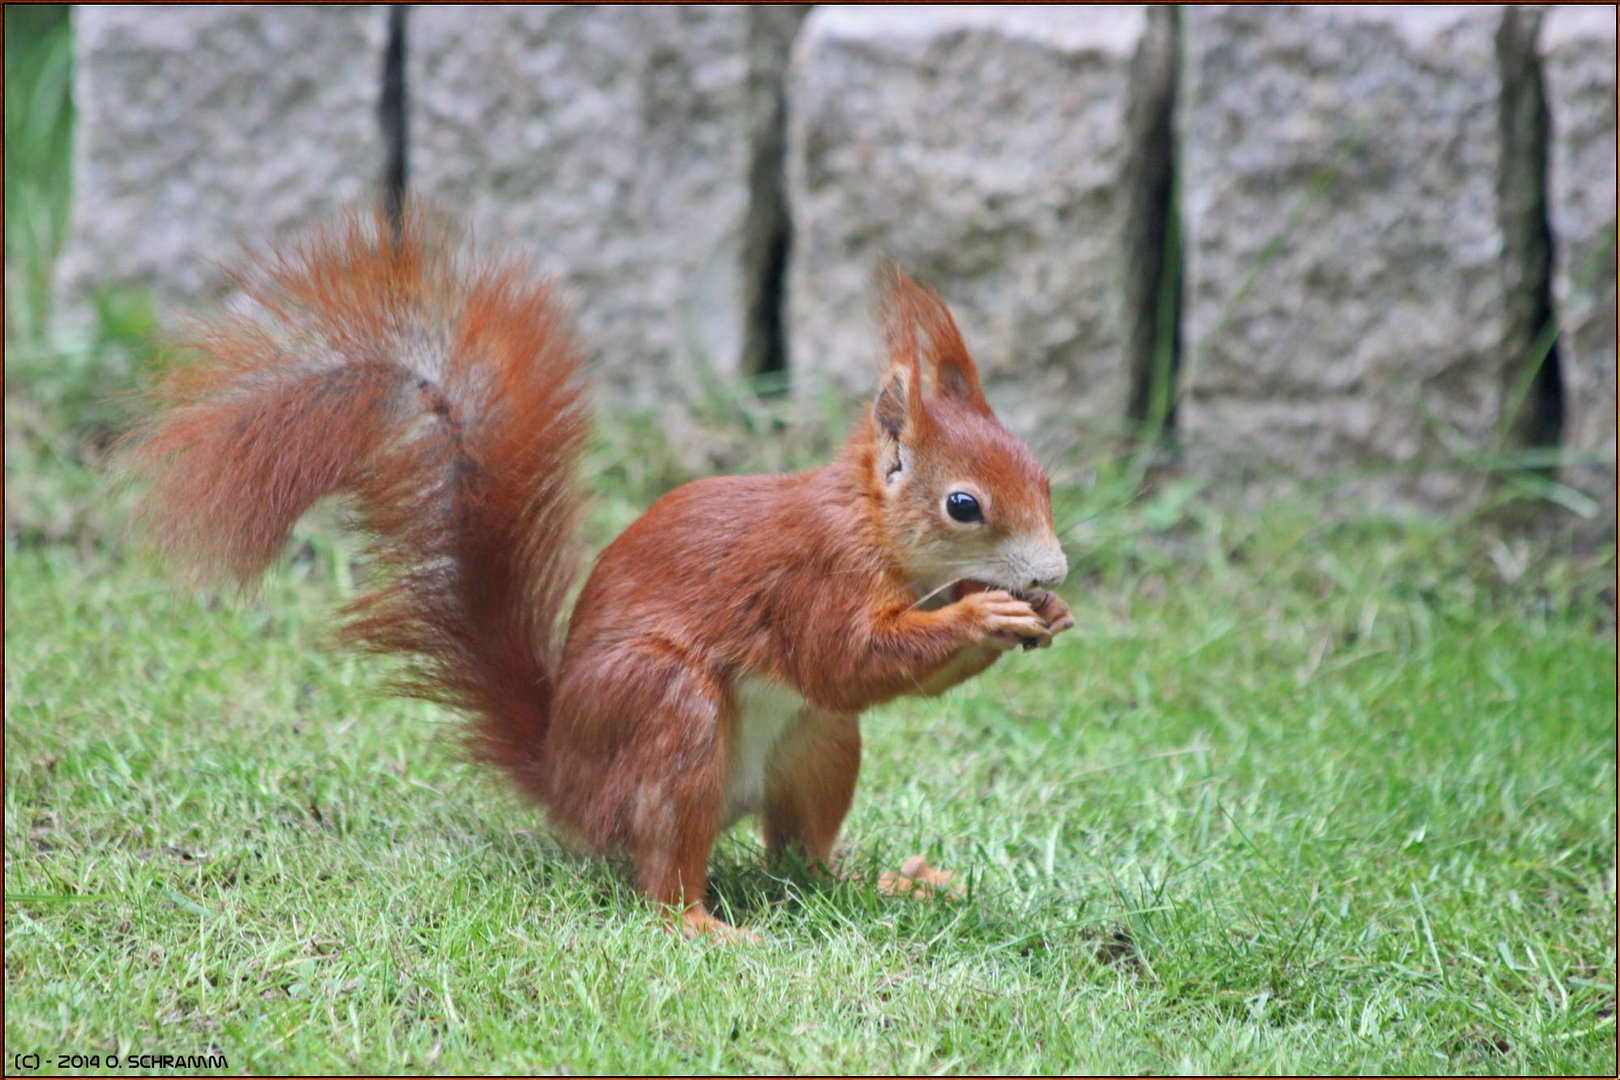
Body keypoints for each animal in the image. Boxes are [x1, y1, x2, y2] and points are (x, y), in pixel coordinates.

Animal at [119, 208, 1069, 939]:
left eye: (1044, 475)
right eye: (963, 505)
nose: (1055, 567)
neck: (869, 522)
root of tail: (567, 784)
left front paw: (1039, 616)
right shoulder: (812, 576)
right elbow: (843, 660)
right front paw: (983, 614)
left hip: (817, 745)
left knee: (802, 857)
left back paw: (883, 883)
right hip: (666, 712)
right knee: (666, 874)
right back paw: (703, 926)